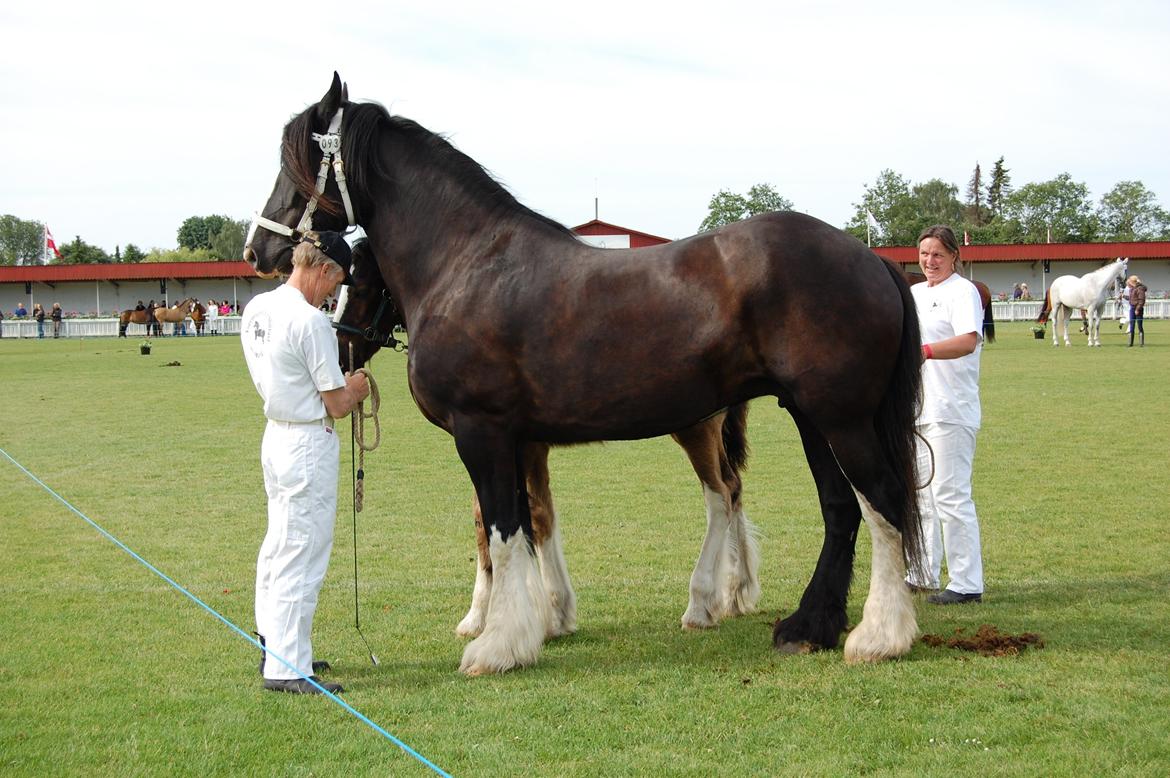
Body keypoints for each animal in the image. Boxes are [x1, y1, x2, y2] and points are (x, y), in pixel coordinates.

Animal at [334, 241, 762, 636]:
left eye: (360, 287)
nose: (340, 354)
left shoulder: (508, 444)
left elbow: (517, 517)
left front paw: (521, 614)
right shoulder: (517, 446)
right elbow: (515, 516)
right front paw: (521, 613)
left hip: (694, 429)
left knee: (720, 493)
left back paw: (701, 603)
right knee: (735, 487)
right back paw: (736, 592)